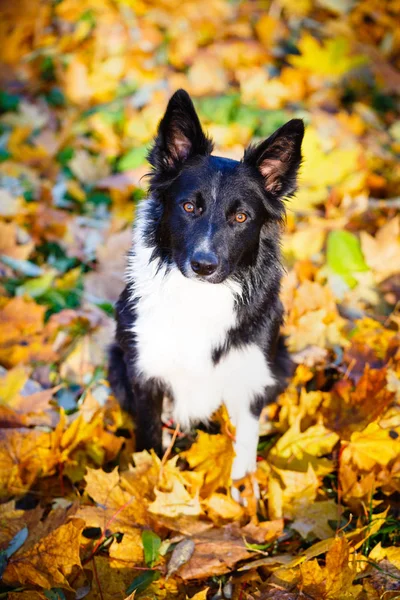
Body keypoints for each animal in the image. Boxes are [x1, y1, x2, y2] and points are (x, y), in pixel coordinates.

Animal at [108, 88, 304, 492]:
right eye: (188, 207)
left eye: (241, 217)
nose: (203, 265)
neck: (199, 299)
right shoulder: (144, 372)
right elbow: (149, 440)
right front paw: (148, 481)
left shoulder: (250, 374)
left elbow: (244, 448)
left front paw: (243, 495)